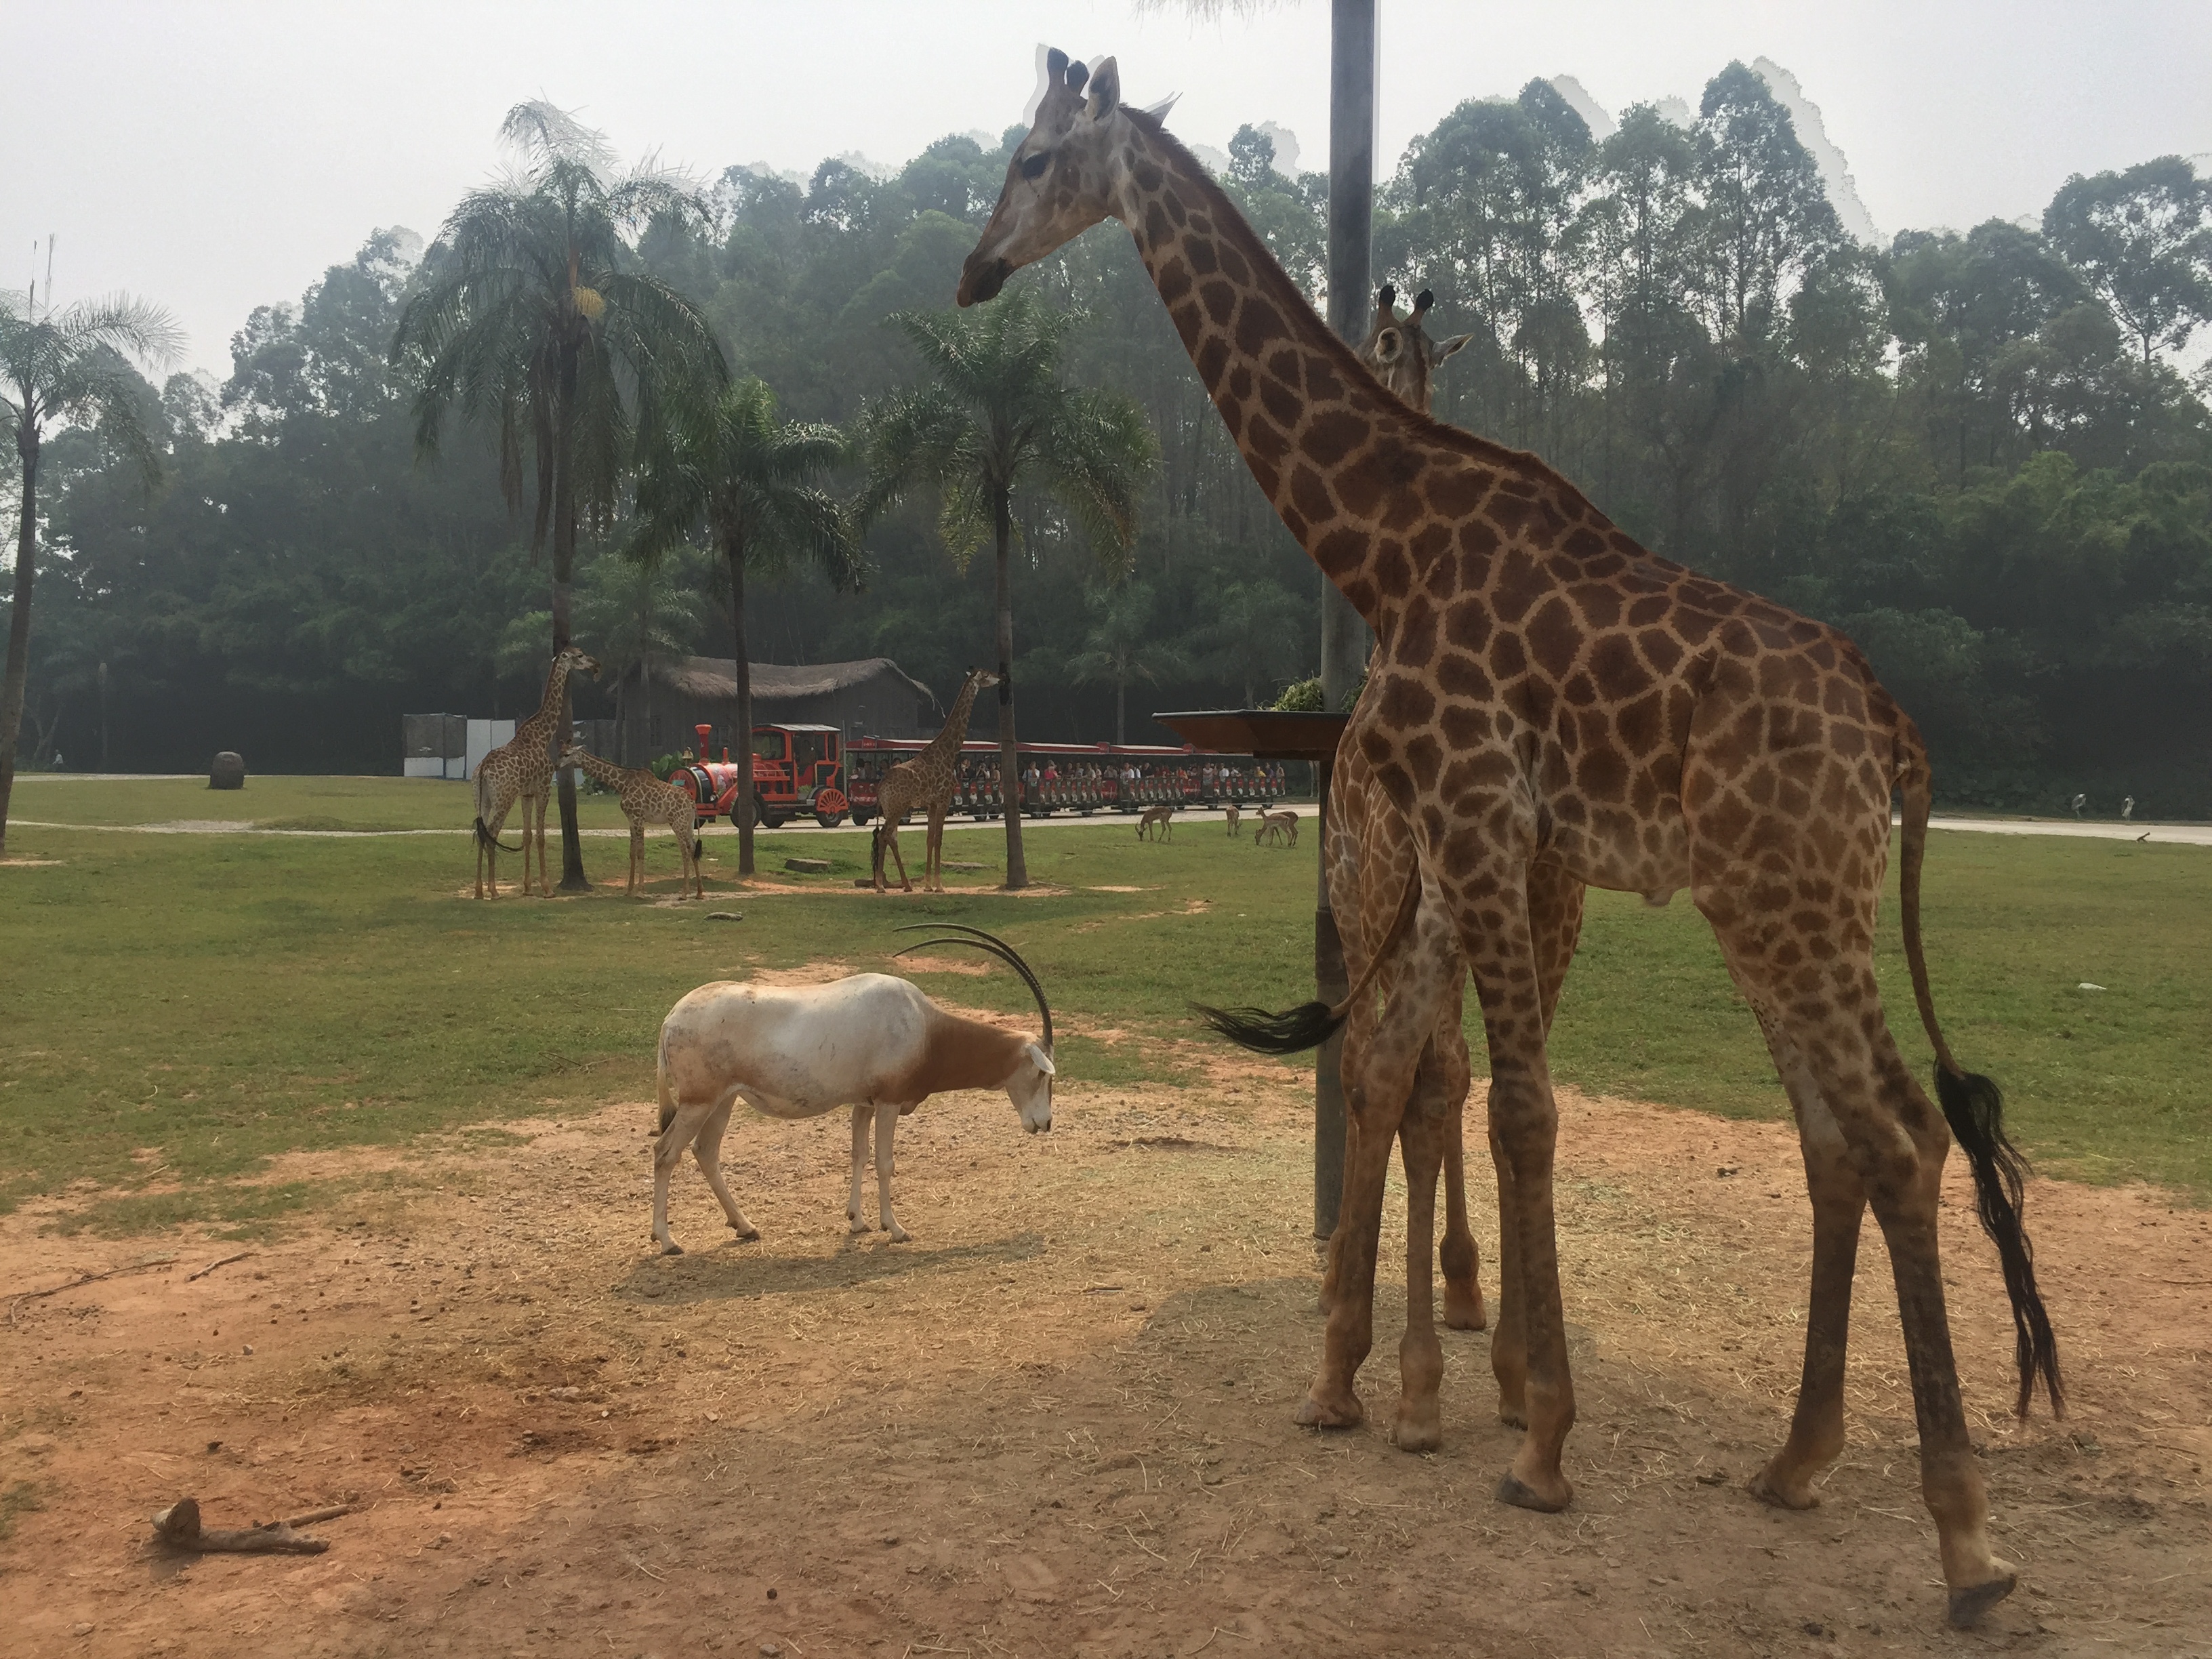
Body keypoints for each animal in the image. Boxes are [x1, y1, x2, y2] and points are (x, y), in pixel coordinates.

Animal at [473, 650, 601, 911]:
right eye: (579, 655)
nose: (596, 664)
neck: (544, 734)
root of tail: (483, 771)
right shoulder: (543, 789)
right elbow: (541, 837)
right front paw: (547, 889)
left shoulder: (527, 793)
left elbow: (527, 836)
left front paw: (527, 888)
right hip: (504, 799)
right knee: (492, 834)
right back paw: (493, 891)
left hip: (483, 800)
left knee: (481, 833)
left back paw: (479, 891)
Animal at [557, 747, 703, 902]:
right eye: (560, 753)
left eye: (567, 754)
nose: (556, 766)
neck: (622, 784)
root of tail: (691, 802)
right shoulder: (631, 820)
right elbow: (632, 852)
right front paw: (629, 890)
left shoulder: (638, 817)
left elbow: (641, 852)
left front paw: (640, 891)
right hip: (688, 824)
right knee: (693, 849)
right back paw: (699, 893)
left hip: (677, 823)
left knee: (685, 851)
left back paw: (684, 893)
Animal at [867, 668, 1000, 898]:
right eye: (986, 675)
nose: (1000, 678)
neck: (949, 752)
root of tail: (881, 788)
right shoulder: (944, 799)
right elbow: (938, 839)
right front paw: (939, 885)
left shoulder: (931, 803)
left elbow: (929, 840)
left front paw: (928, 885)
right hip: (898, 807)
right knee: (884, 836)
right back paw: (881, 886)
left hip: (890, 808)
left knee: (890, 837)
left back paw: (906, 885)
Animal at [960, 52, 2062, 1628]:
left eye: (1036, 158)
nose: (974, 270)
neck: (1388, 544)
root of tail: (1893, 731)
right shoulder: (1460, 840)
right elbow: (1422, 1081)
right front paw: (1392, 1383)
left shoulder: (1482, 813)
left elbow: (1512, 1104)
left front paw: (1535, 1437)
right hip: (1771, 904)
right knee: (1842, 1137)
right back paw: (1793, 1462)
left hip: (1789, 895)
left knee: (1898, 1135)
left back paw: (1966, 1544)